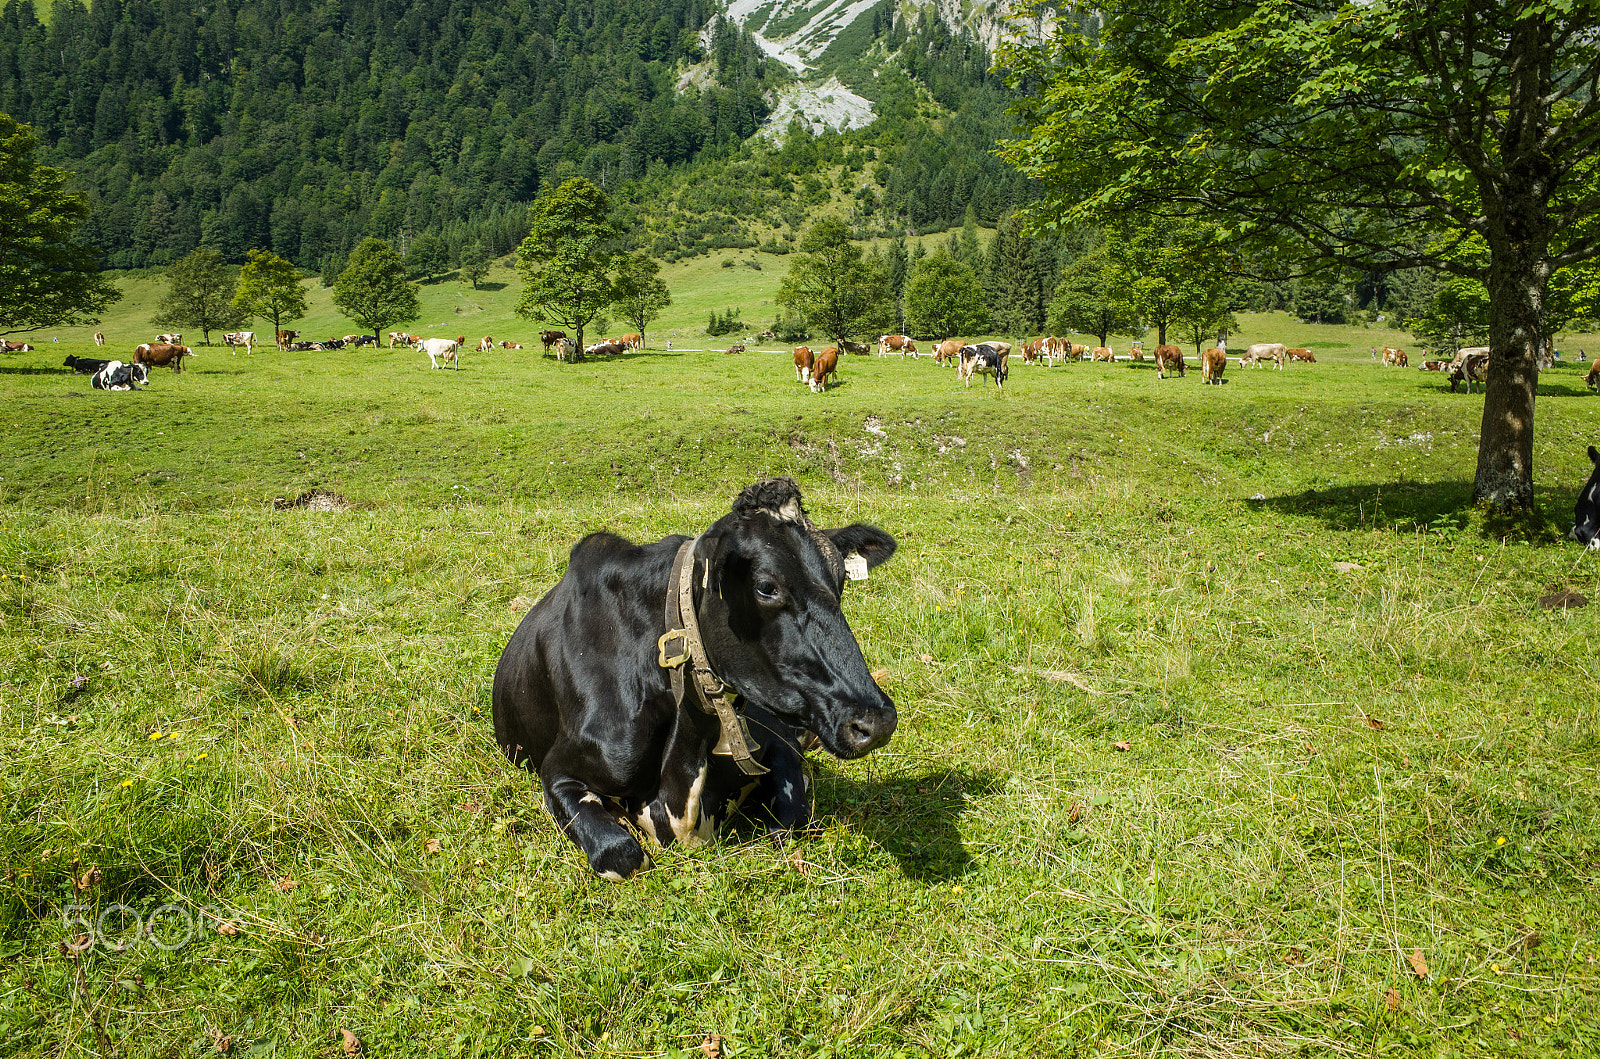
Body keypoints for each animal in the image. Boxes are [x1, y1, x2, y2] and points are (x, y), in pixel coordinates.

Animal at [492, 477, 897, 880]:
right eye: (767, 587)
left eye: (841, 579)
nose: (876, 722)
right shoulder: (558, 769)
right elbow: (621, 854)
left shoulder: (775, 741)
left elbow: (793, 820)